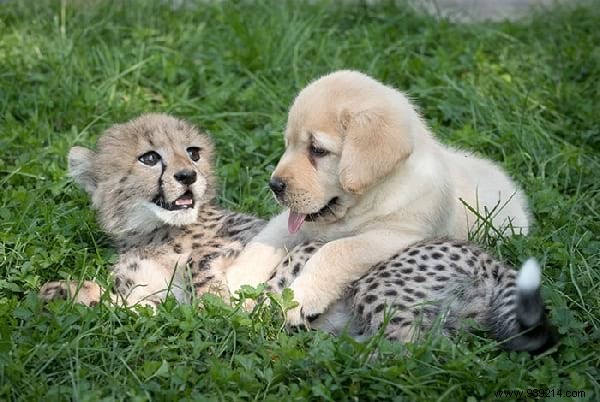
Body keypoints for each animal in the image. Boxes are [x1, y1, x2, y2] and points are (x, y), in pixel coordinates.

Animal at [226, 70, 528, 326]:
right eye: (288, 144)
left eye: (317, 150)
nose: (274, 185)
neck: (367, 199)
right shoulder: (296, 222)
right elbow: (265, 241)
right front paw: (234, 282)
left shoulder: (395, 235)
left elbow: (337, 250)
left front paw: (301, 297)